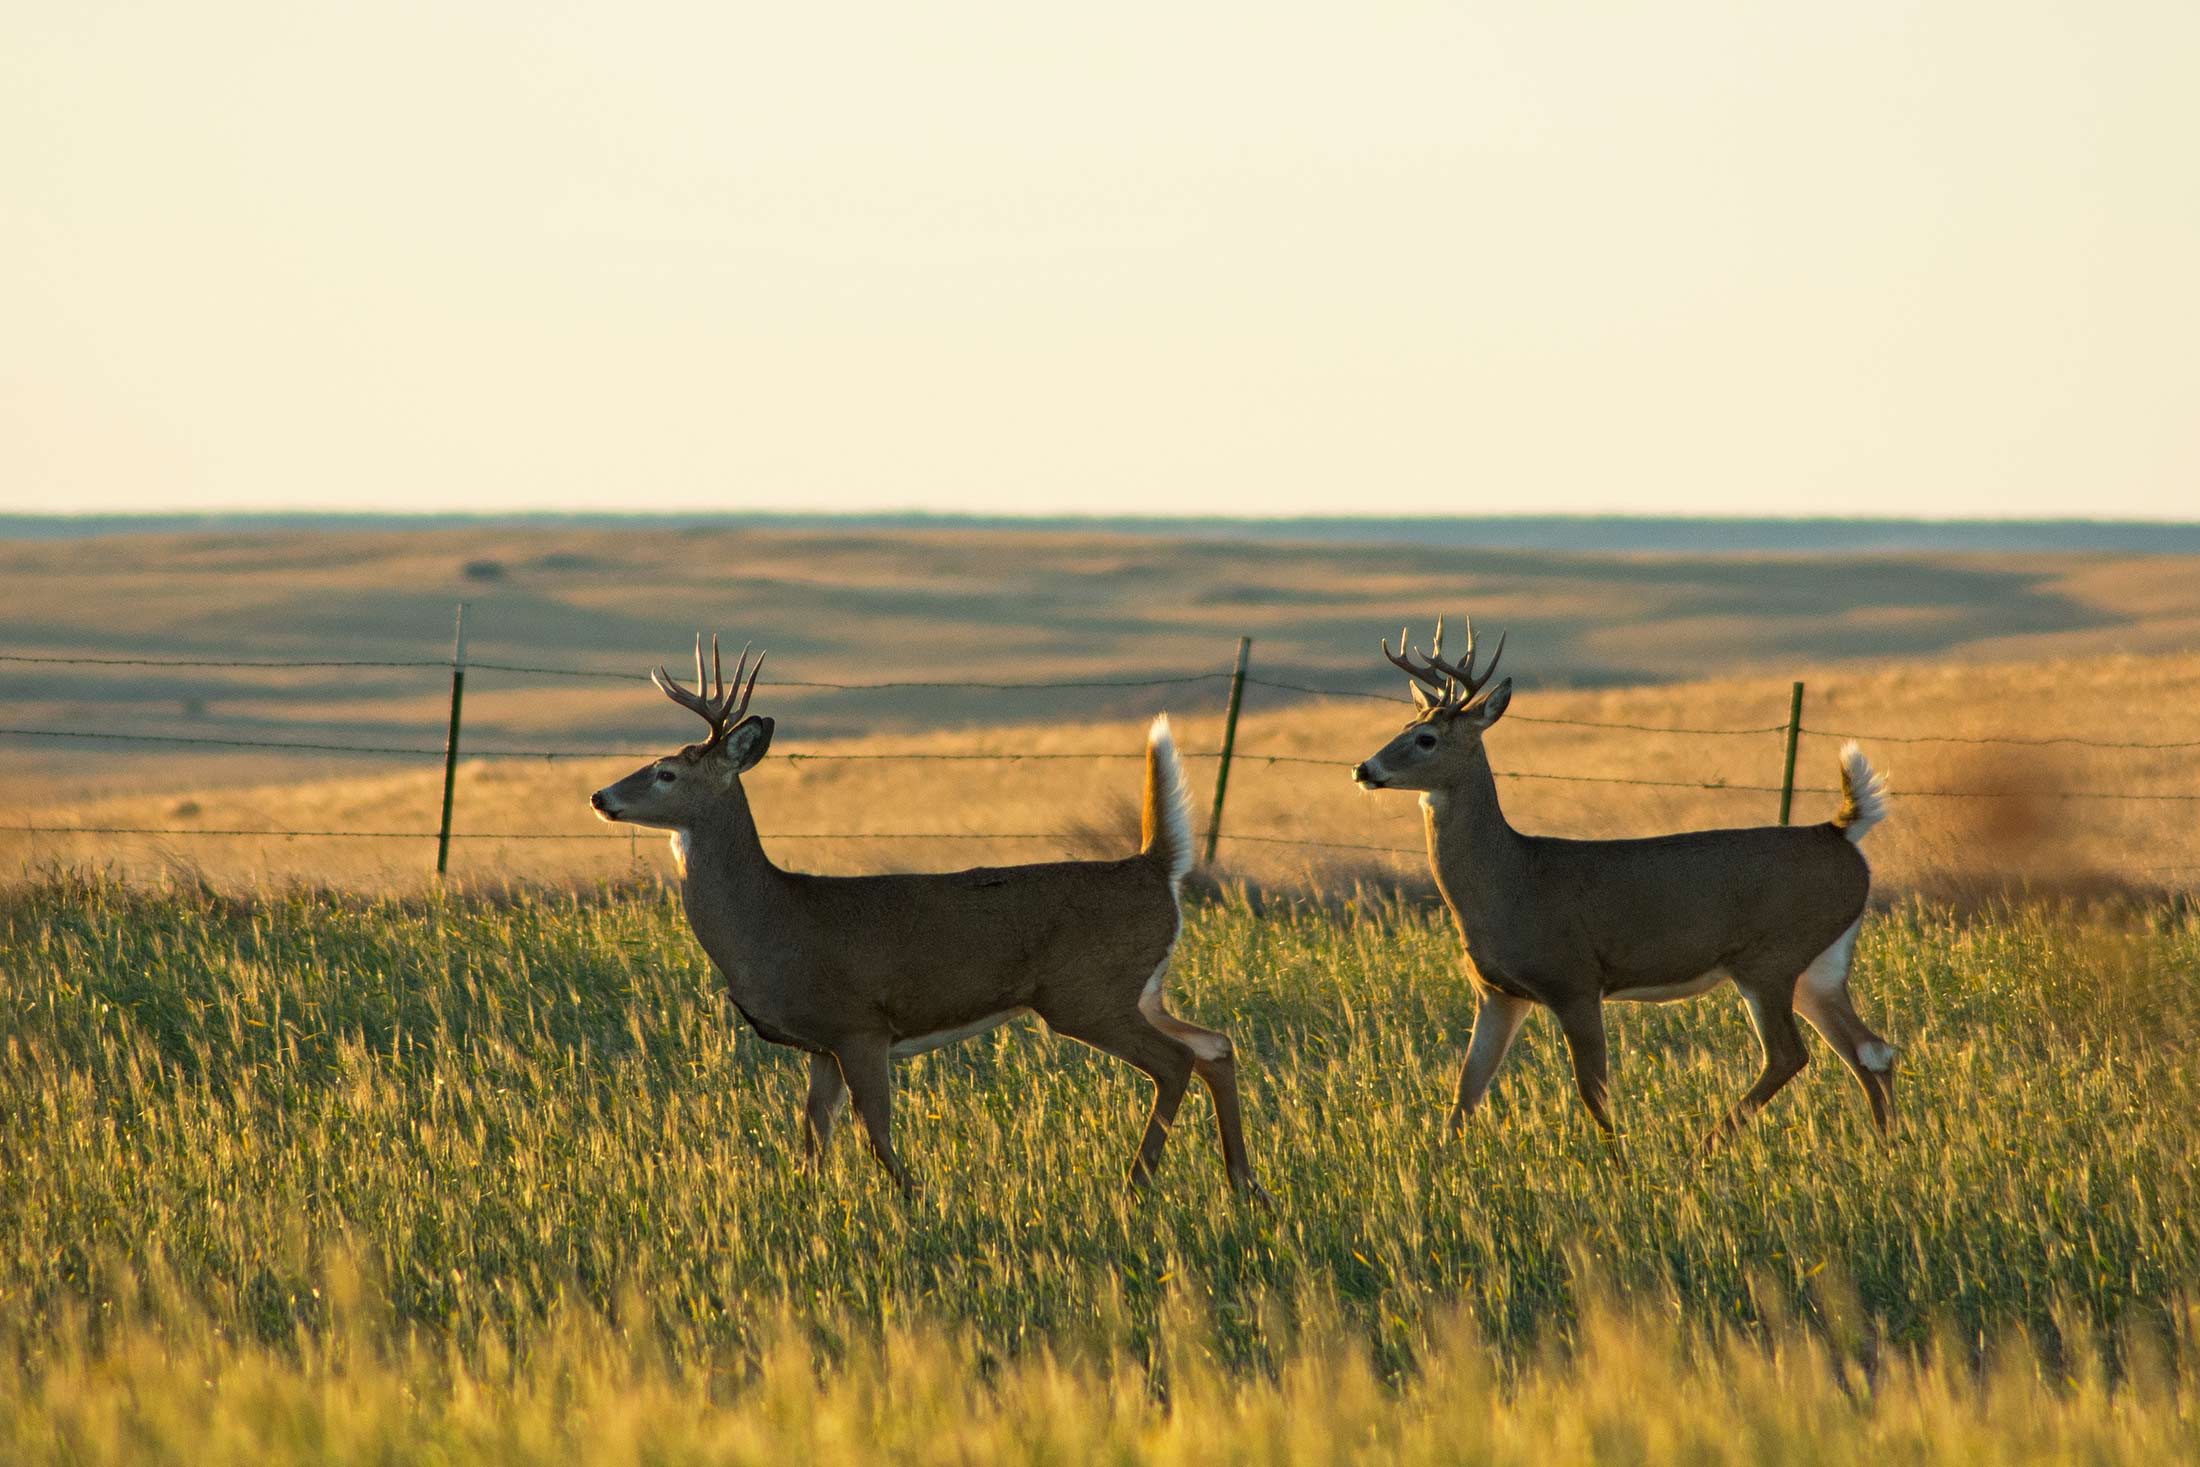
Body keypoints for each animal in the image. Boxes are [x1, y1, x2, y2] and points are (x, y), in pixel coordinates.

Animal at [594, 637, 1267, 1196]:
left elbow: (875, 1131)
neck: (773, 920)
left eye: (665, 772)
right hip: (1140, 990)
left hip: (1086, 993)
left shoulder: (861, 1024)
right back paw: (1243, 1184)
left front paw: (915, 1198)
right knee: (1216, 1046)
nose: (600, 796)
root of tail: (1153, 866)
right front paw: (805, 1202)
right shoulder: (821, 1044)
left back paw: (1137, 1184)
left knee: (1176, 1062)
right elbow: (813, 1138)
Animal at [1346, 620, 1900, 1143]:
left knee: (1792, 1054)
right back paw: (1888, 1146)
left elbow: (1593, 1092)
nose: (1363, 768)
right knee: (1870, 1049)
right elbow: (1464, 1095)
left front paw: (1621, 1167)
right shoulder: (1497, 993)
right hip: (1818, 965)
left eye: (1426, 739)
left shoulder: (1574, 979)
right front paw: (1437, 1166)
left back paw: (1701, 1152)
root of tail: (1839, 830)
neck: (1512, 879)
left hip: (1769, 956)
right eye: (1404, 725)